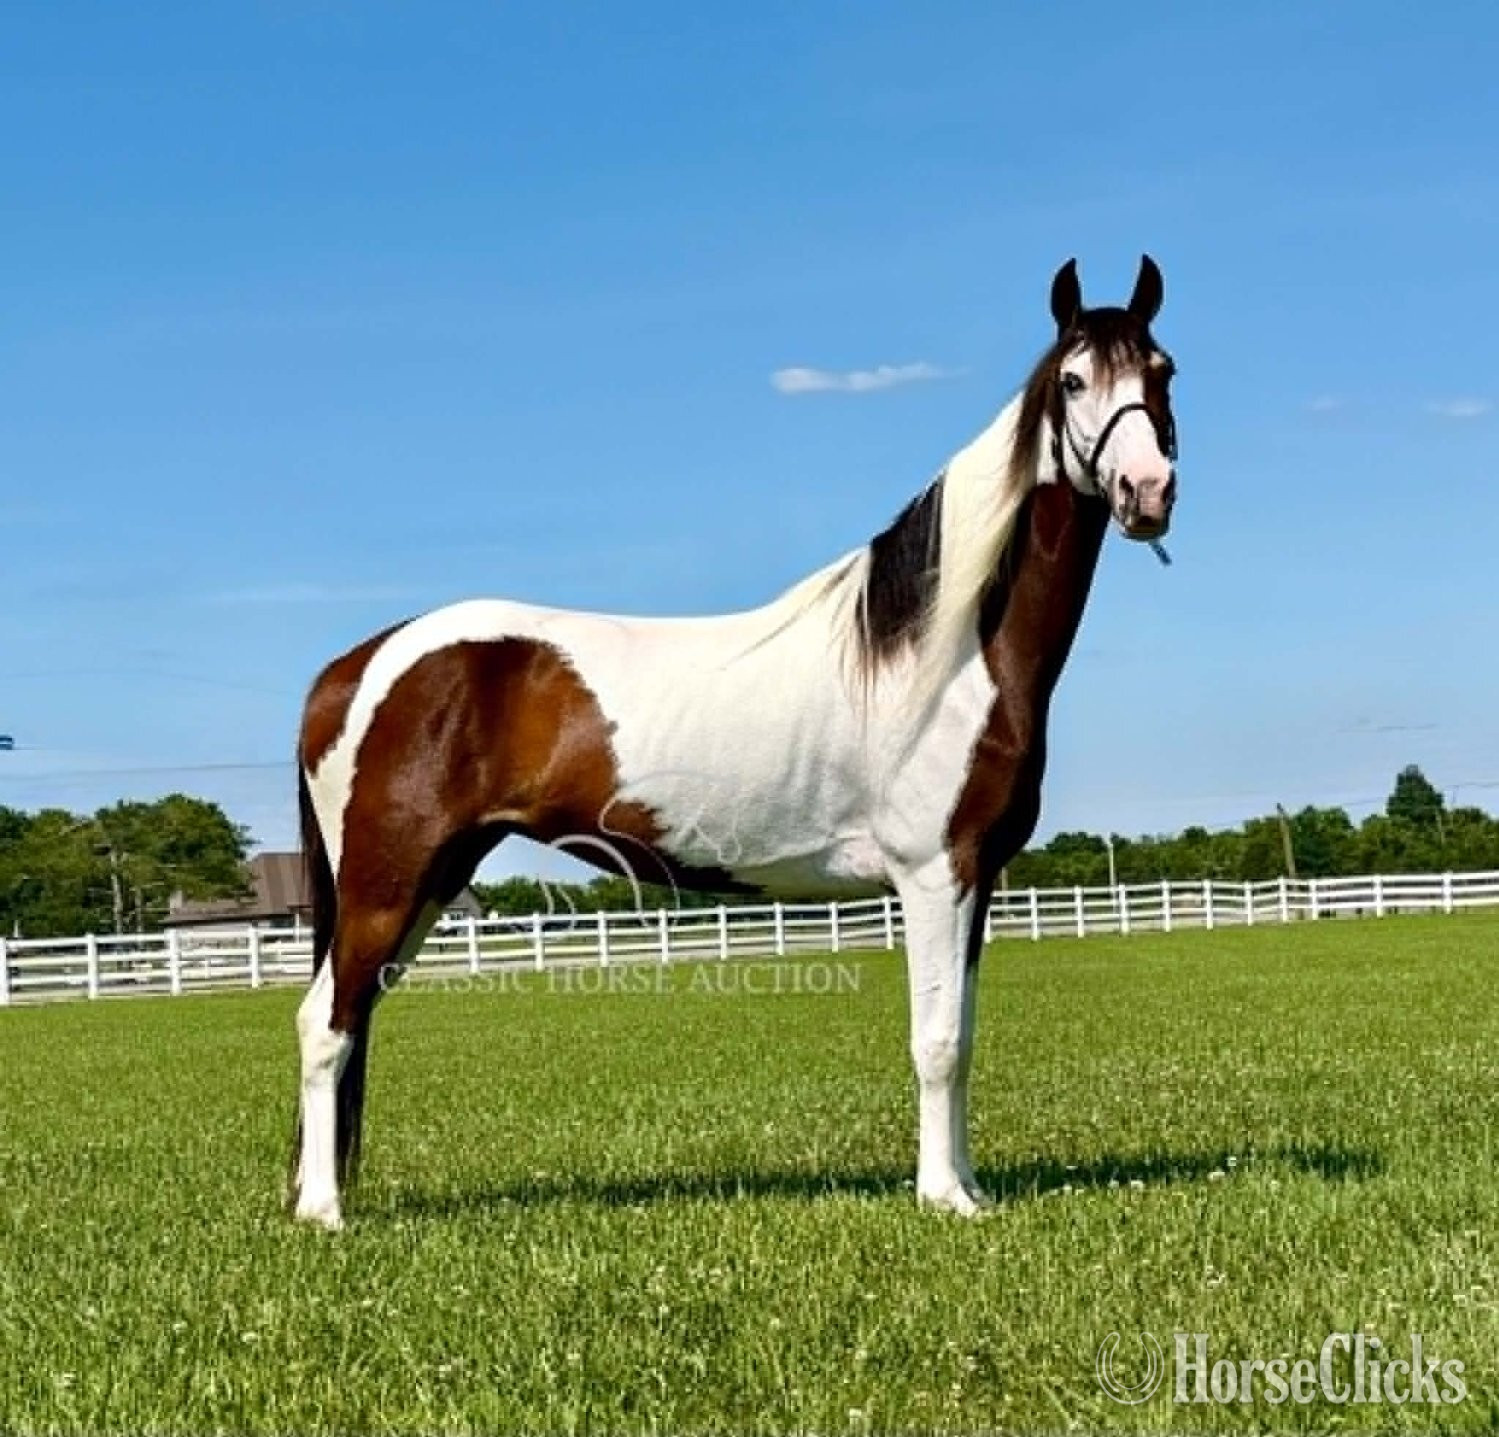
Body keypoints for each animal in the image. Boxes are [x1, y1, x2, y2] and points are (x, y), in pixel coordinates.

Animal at [288, 255, 1179, 1229]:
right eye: (1073, 381)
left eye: (1162, 371)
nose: (1147, 491)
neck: (943, 652)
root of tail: (355, 666)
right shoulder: (931, 873)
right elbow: (937, 1040)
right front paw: (944, 1197)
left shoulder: (975, 877)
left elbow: (967, 1034)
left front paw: (968, 1182)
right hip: (387, 881)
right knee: (324, 1024)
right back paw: (322, 1212)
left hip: (430, 879)